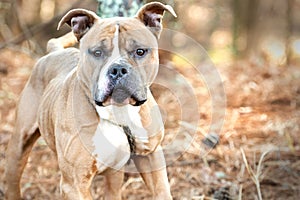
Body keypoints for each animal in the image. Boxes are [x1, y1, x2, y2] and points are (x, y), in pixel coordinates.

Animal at [4, 1, 176, 200]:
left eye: (140, 51)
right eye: (97, 52)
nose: (118, 69)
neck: (118, 111)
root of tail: (54, 53)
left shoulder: (151, 156)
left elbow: (162, 191)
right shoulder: (74, 184)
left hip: (114, 175)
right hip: (19, 146)